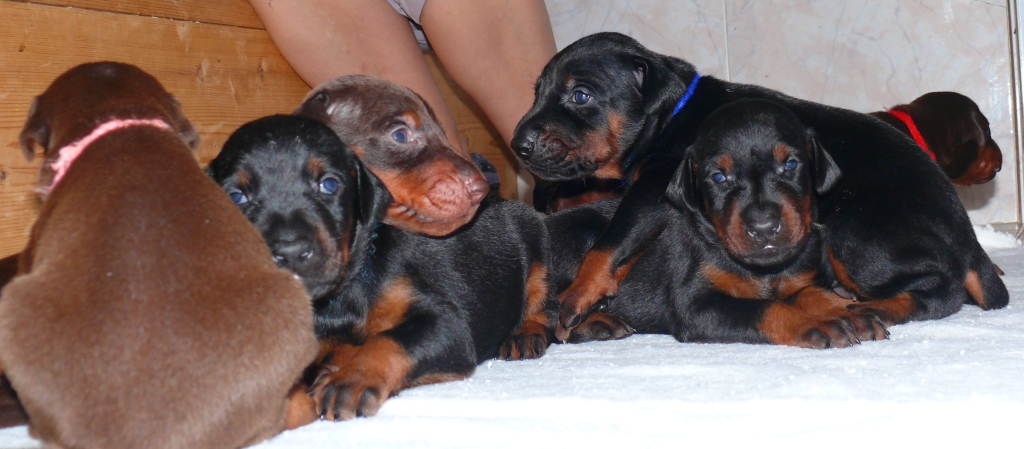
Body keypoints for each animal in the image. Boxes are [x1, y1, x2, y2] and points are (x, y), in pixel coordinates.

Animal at [207, 113, 552, 422]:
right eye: (237, 196)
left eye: (329, 184)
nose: (290, 251)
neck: (341, 295)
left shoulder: (446, 323)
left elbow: (389, 340)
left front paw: (351, 379)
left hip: (536, 240)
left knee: (542, 299)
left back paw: (525, 333)